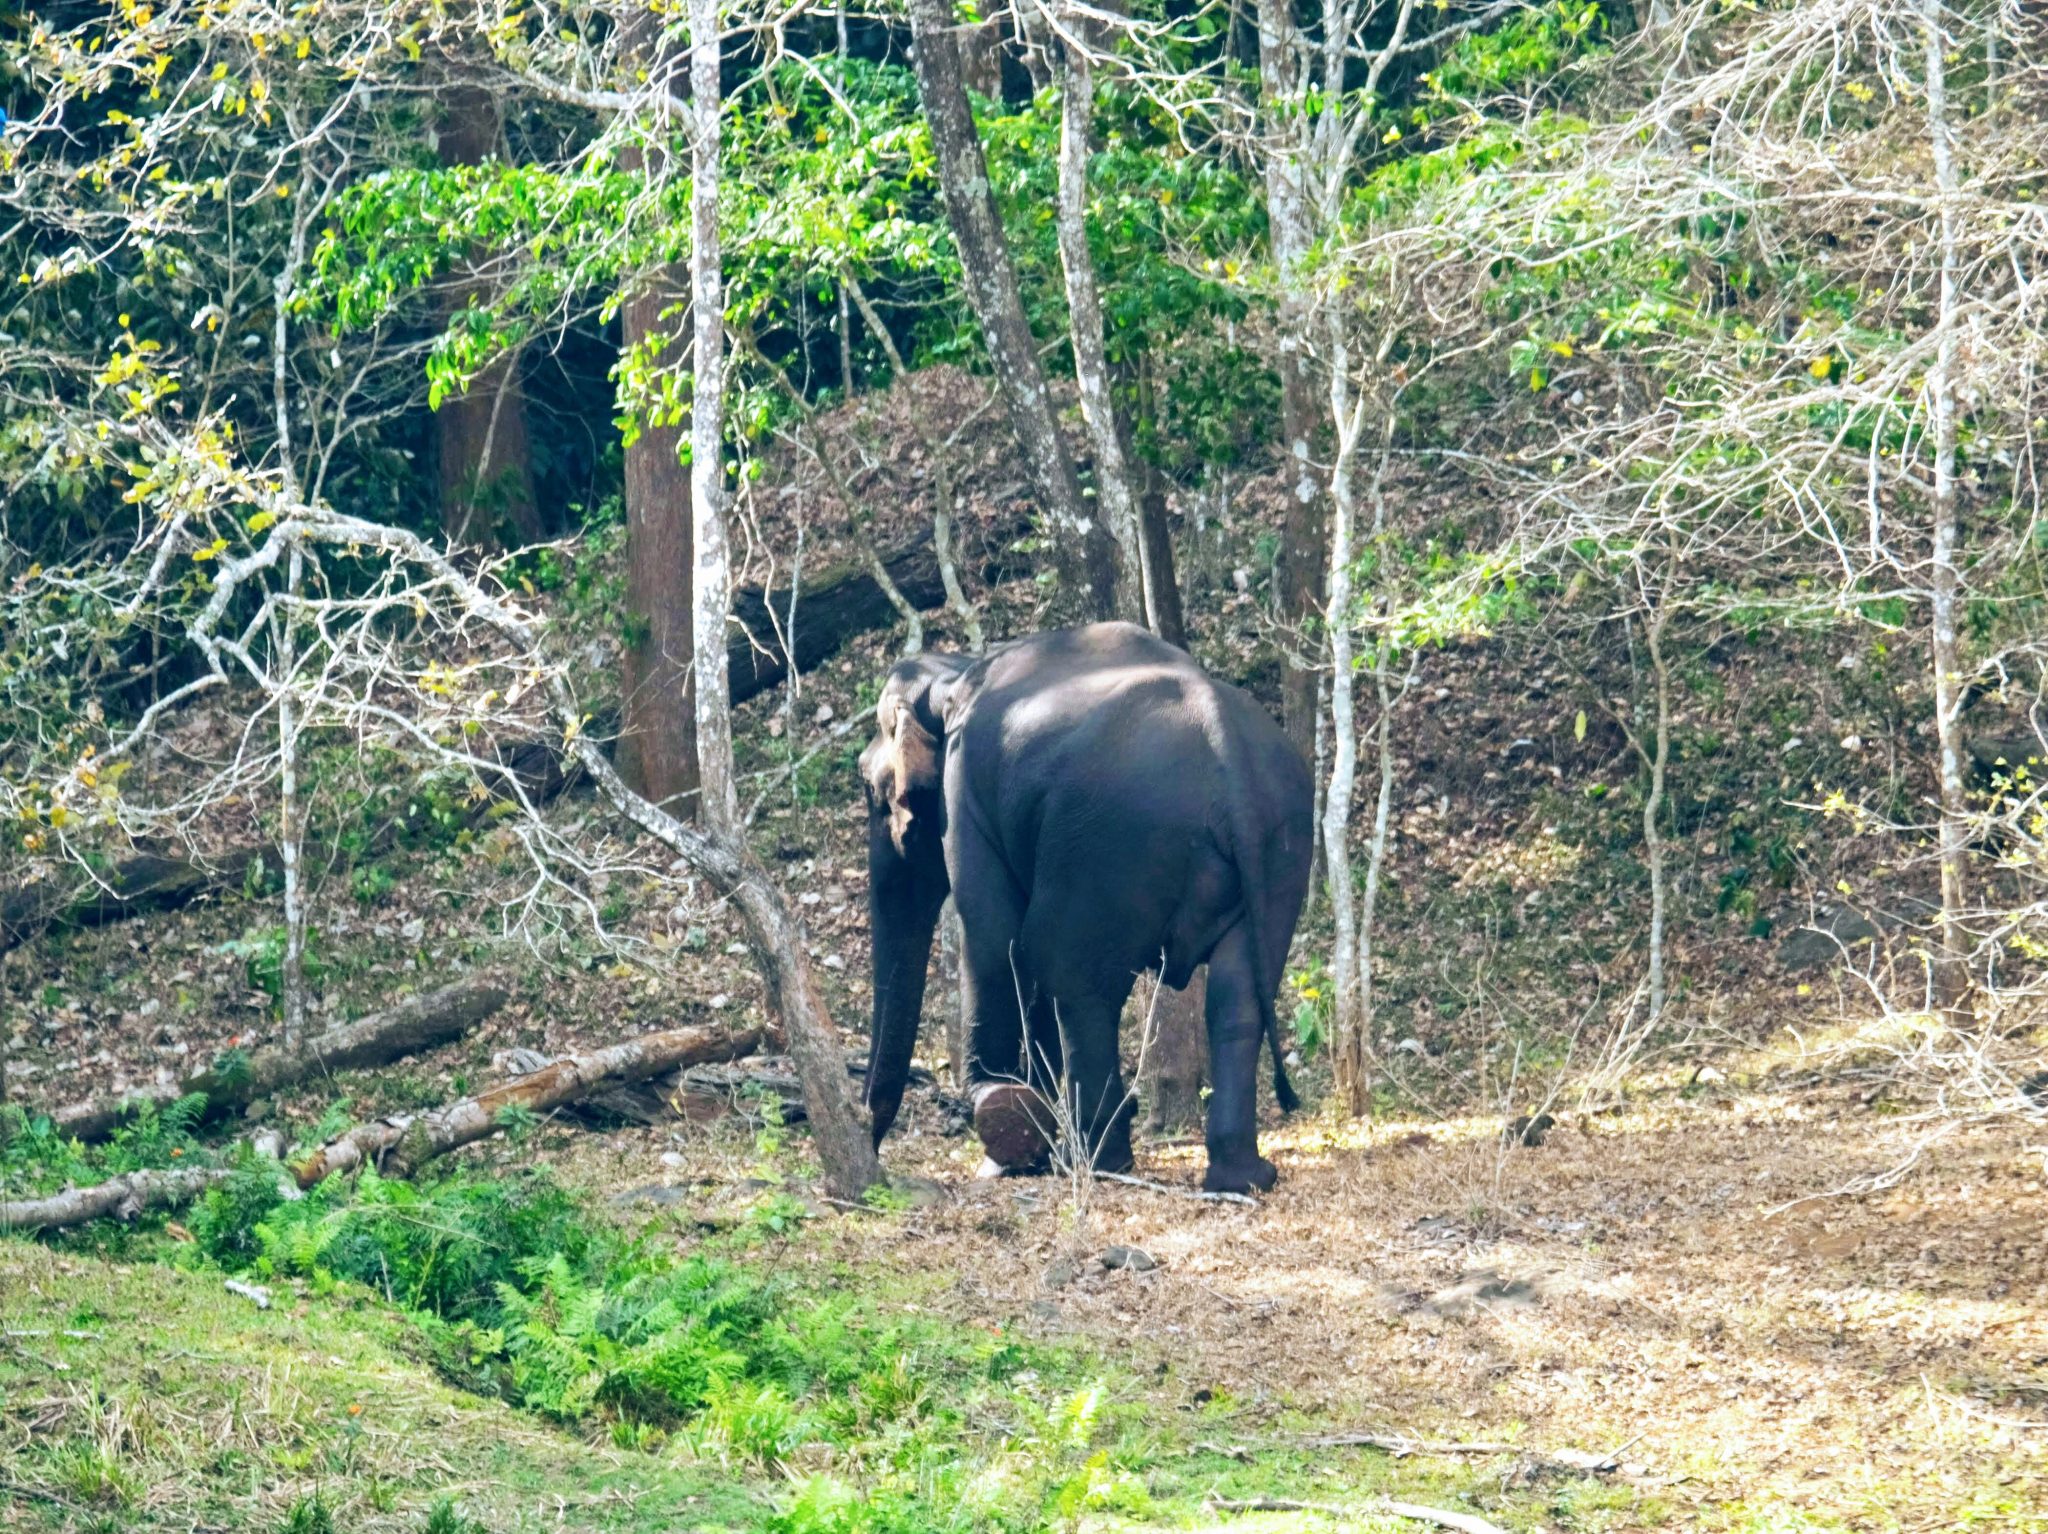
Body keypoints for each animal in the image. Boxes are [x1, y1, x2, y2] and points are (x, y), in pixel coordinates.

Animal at [860, 614, 1310, 1187]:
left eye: (872, 789)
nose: (871, 1144)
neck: (953, 670)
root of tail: (1230, 761)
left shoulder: (964, 793)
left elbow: (991, 937)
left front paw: (1004, 1139)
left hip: (1110, 844)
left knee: (1072, 978)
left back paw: (1097, 1162)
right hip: (1280, 849)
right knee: (1239, 998)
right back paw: (1242, 1179)